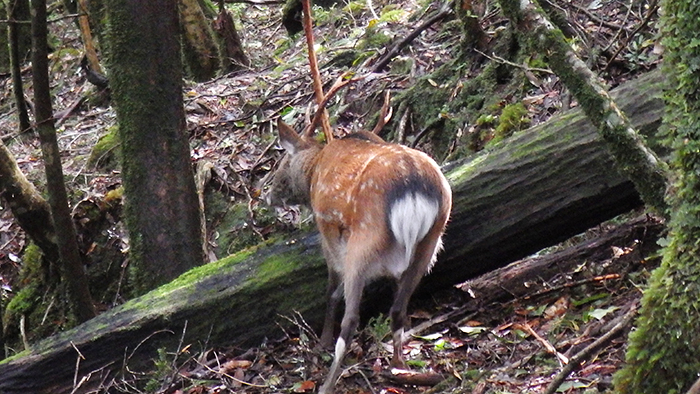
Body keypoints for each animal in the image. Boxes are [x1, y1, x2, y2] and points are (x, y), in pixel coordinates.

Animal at [266, 117, 452, 394]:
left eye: (282, 163)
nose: (268, 196)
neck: (315, 168)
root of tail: (414, 191)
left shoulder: (328, 231)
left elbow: (332, 289)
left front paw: (323, 341)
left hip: (364, 240)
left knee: (351, 317)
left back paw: (328, 384)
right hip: (432, 240)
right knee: (398, 308)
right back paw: (400, 367)